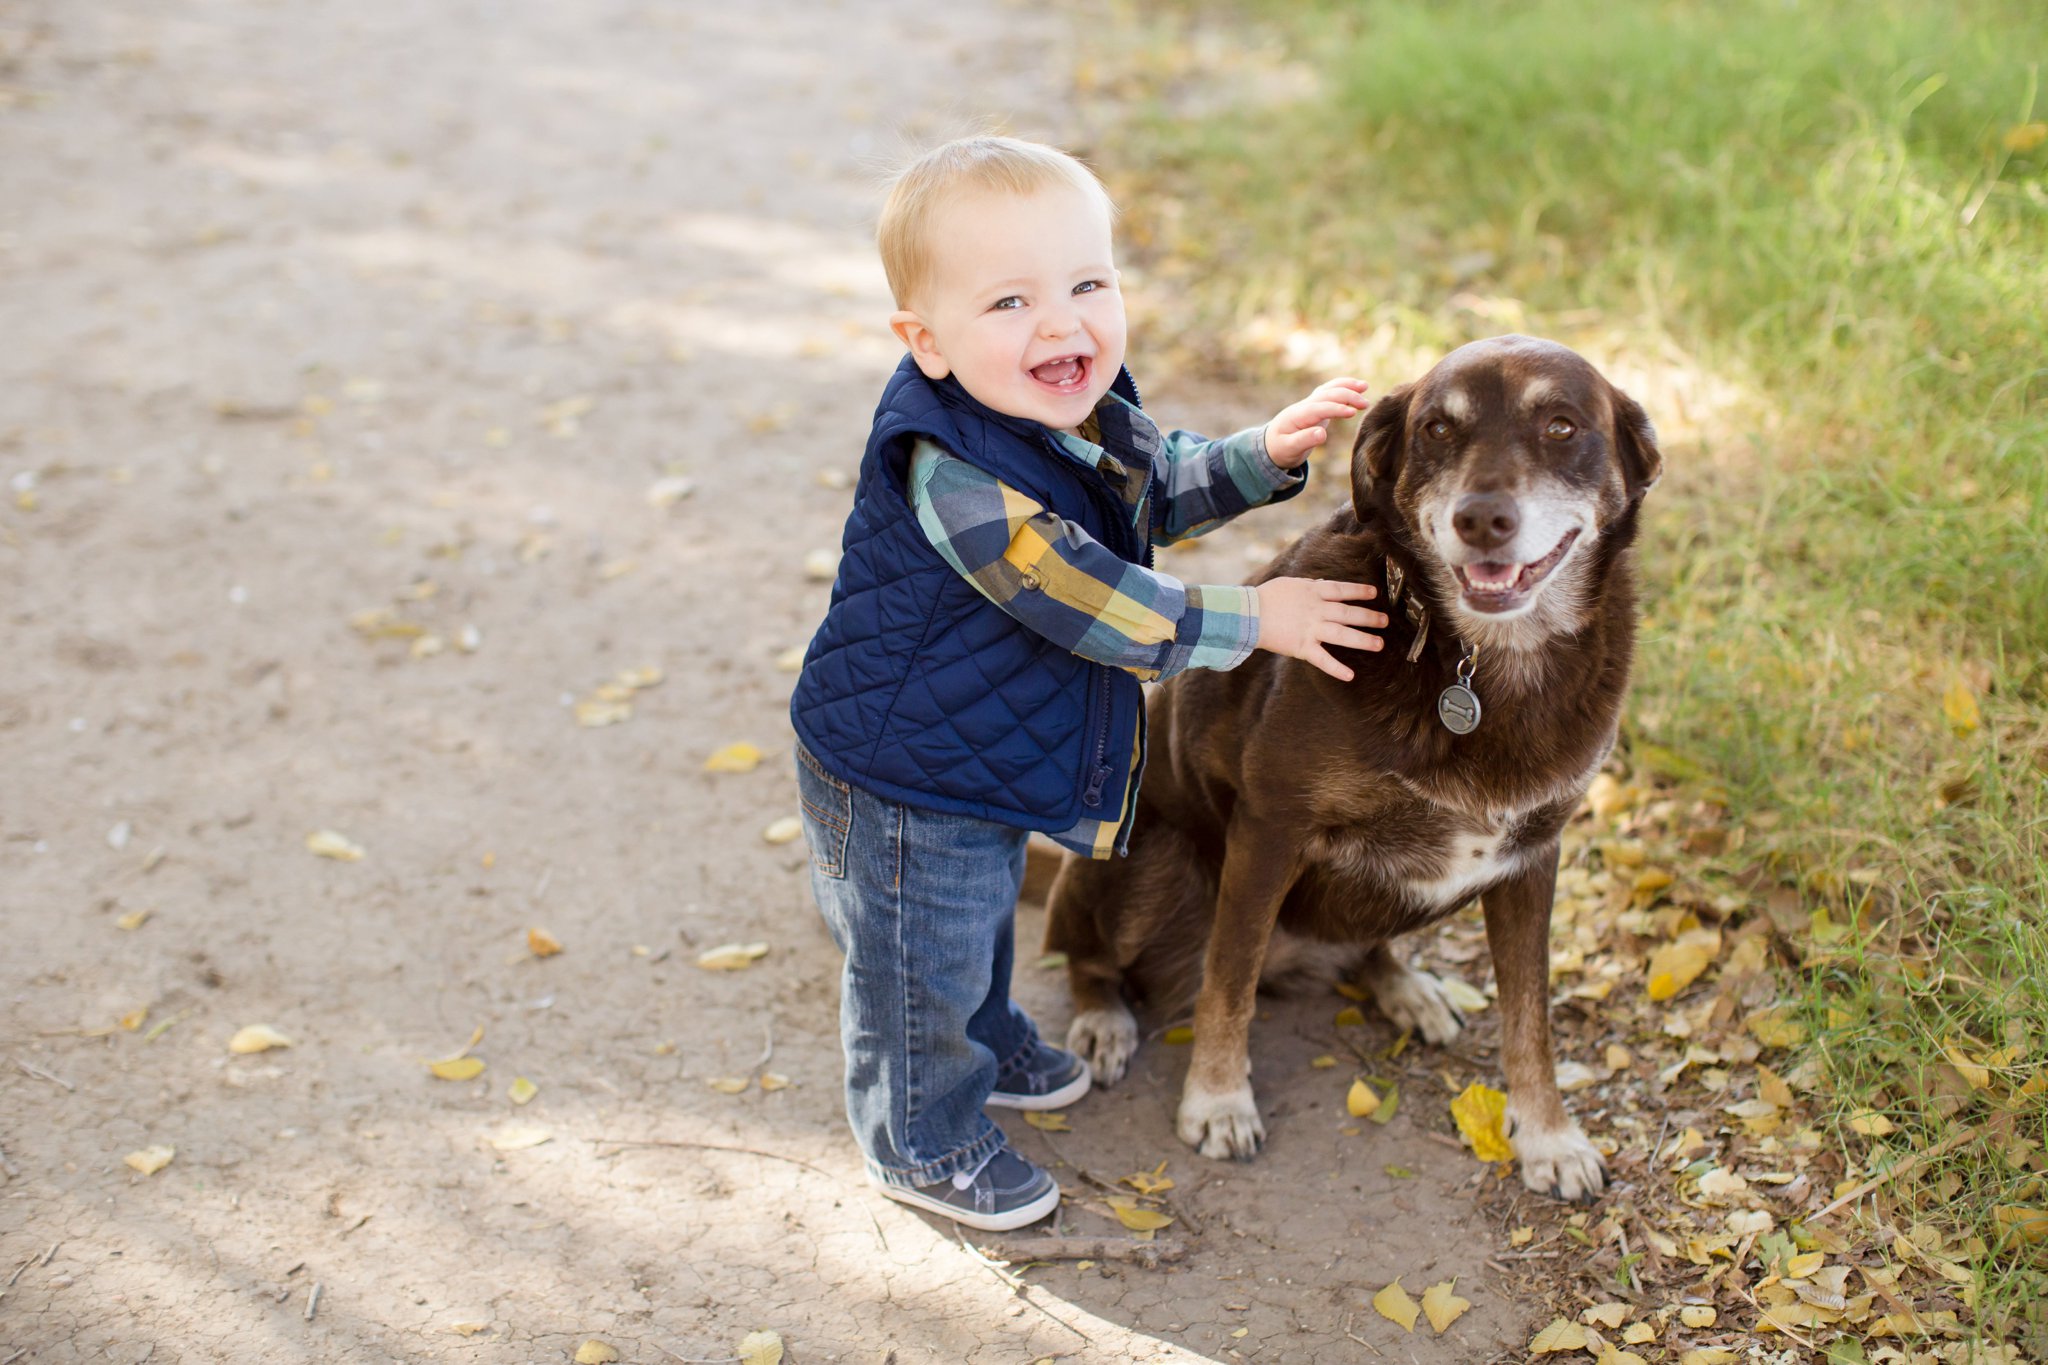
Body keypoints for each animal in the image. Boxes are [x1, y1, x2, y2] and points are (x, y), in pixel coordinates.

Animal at [1048, 335, 1654, 1203]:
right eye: (1437, 429)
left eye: (1563, 426)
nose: (1481, 519)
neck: (1473, 661)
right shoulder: (1269, 829)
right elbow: (1228, 979)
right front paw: (1219, 1100)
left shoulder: (1532, 857)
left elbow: (1530, 1017)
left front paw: (1548, 1136)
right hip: (1148, 861)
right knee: (1090, 955)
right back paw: (1102, 1018)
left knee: (1371, 941)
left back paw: (1404, 984)